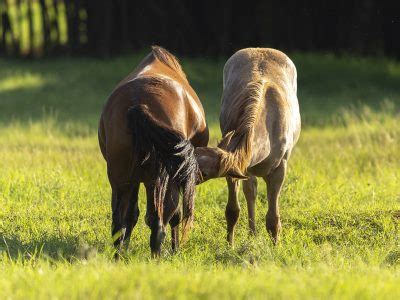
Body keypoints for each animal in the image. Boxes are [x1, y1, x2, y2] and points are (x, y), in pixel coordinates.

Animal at [98, 45, 208, 256]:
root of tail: (138, 104)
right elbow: (171, 215)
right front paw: (175, 249)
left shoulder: (134, 180)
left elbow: (131, 216)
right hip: (160, 180)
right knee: (160, 222)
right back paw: (156, 256)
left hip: (121, 178)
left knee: (119, 223)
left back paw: (119, 255)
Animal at [195, 48, 302, 245]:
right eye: (194, 153)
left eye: (205, 172)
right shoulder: (234, 169)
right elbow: (232, 210)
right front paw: (230, 244)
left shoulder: (280, 167)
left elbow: (273, 218)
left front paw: (275, 246)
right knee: (250, 189)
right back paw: (252, 233)